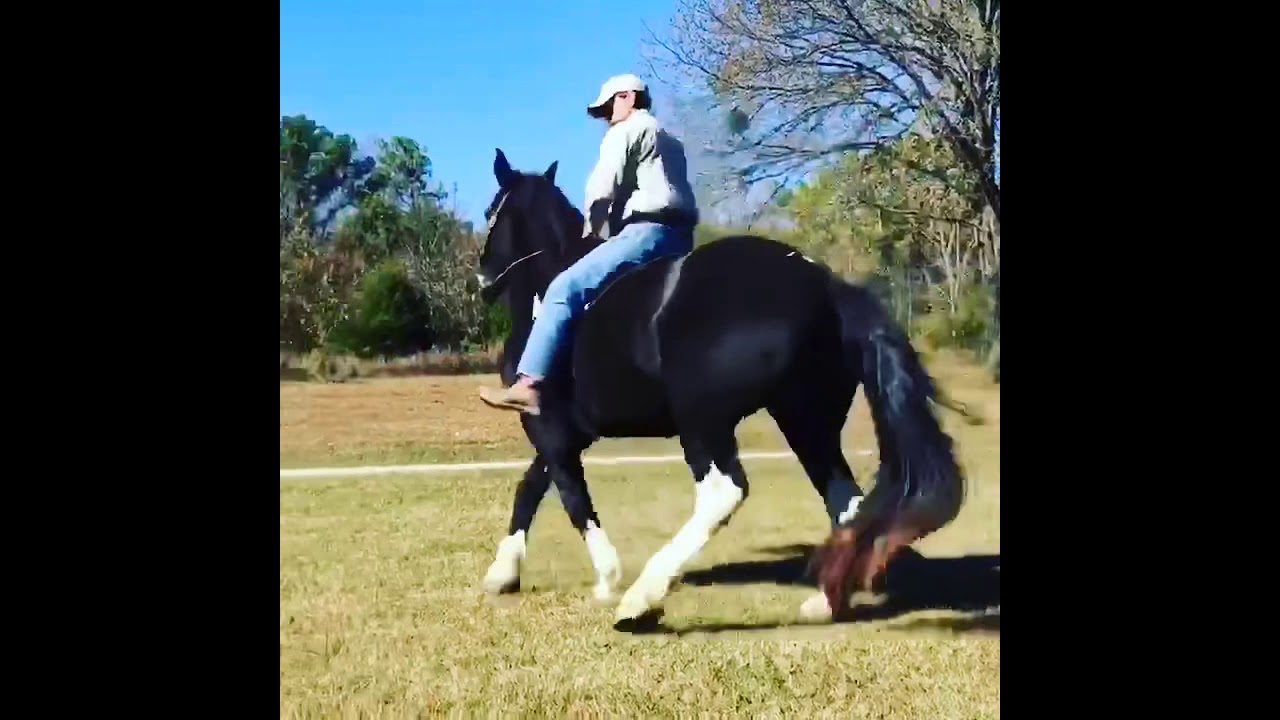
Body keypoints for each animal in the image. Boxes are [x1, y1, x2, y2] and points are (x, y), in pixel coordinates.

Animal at [474, 148, 965, 628]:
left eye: (490, 211)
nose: (483, 281)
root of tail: (825, 285)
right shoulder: (568, 434)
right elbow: (532, 486)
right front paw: (502, 573)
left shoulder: (552, 430)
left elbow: (570, 497)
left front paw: (607, 579)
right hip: (806, 423)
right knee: (847, 501)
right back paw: (825, 602)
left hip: (702, 422)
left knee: (723, 493)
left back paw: (641, 599)